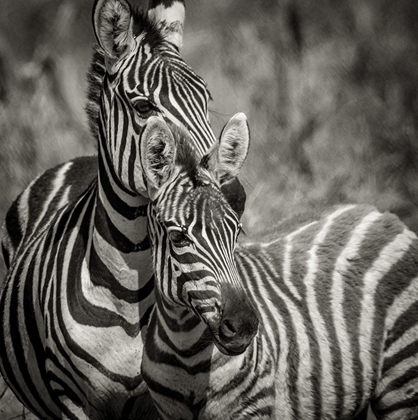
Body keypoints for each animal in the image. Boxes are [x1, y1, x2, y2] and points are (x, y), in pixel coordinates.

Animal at [140, 115, 418, 420]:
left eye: (237, 232)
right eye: (178, 237)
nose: (244, 326)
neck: (186, 351)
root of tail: (378, 212)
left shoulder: (253, 409)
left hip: (402, 377)